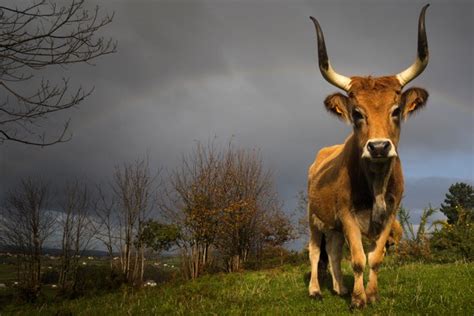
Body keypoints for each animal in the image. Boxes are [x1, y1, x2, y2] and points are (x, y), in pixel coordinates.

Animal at [308, 3, 430, 308]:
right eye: (356, 113)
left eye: (396, 110)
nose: (378, 147)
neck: (375, 182)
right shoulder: (347, 215)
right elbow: (358, 260)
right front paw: (357, 299)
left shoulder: (389, 215)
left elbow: (374, 258)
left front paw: (371, 294)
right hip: (313, 218)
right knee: (315, 251)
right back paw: (316, 290)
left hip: (333, 226)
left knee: (334, 251)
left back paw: (339, 288)